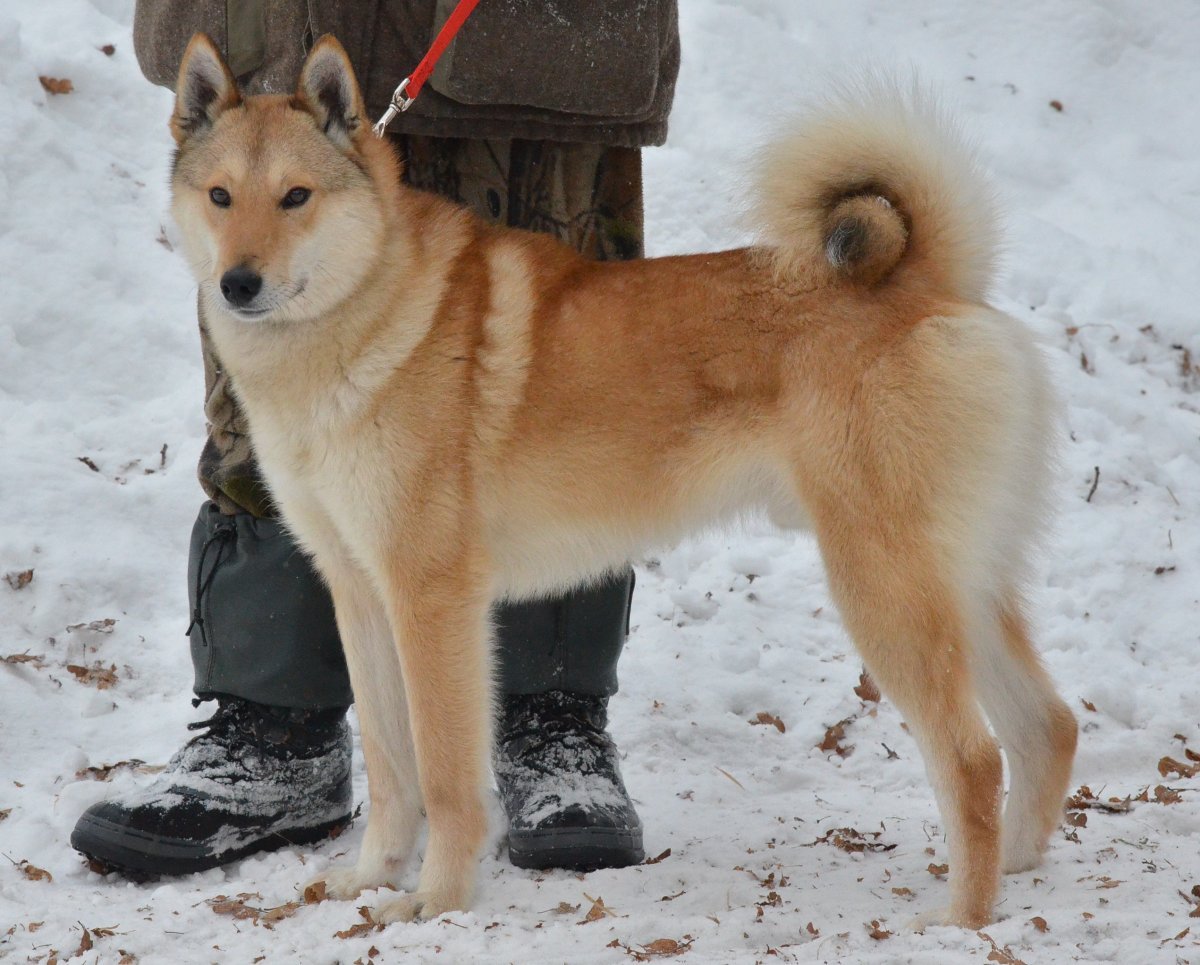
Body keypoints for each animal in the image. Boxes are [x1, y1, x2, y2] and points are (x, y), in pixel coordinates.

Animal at [166, 33, 1080, 931]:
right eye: (220, 196)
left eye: (295, 197)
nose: (237, 283)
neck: (365, 319)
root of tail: (931, 285)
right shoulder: (359, 592)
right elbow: (391, 770)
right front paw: (372, 877)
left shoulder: (432, 599)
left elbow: (446, 778)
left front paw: (438, 900)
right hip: (956, 587)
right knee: (1047, 725)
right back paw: (1015, 869)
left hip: (885, 588)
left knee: (973, 756)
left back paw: (961, 918)